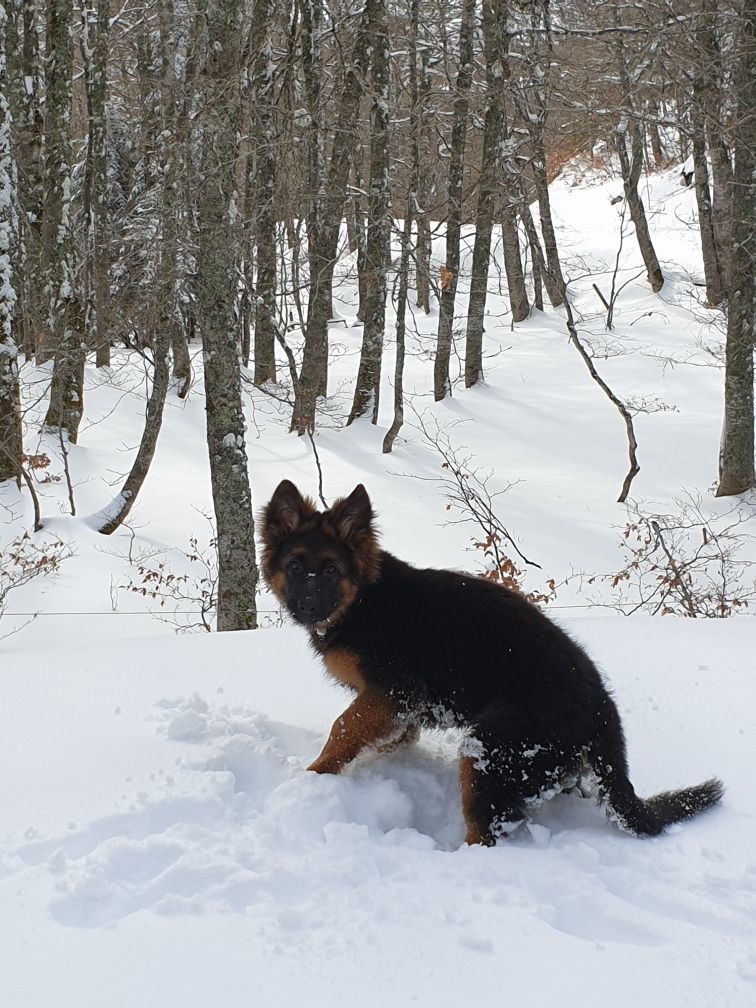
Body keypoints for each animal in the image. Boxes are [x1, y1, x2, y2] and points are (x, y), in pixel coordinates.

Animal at [264, 479, 725, 842]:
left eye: (330, 571)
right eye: (295, 565)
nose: (307, 608)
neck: (362, 601)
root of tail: (602, 705)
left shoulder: (396, 690)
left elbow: (342, 728)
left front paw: (312, 777)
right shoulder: (401, 707)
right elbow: (383, 736)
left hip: (491, 750)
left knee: (484, 835)